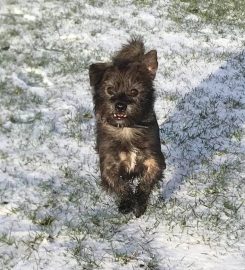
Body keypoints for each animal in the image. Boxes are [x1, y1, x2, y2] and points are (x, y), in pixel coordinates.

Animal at [89, 38, 166, 217]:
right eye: (110, 89)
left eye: (134, 91)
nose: (120, 105)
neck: (126, 129)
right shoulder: (108, 165)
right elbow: (119, 185)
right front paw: (126, 202)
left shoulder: (154, 160)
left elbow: (146, 181)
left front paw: (140, 204)